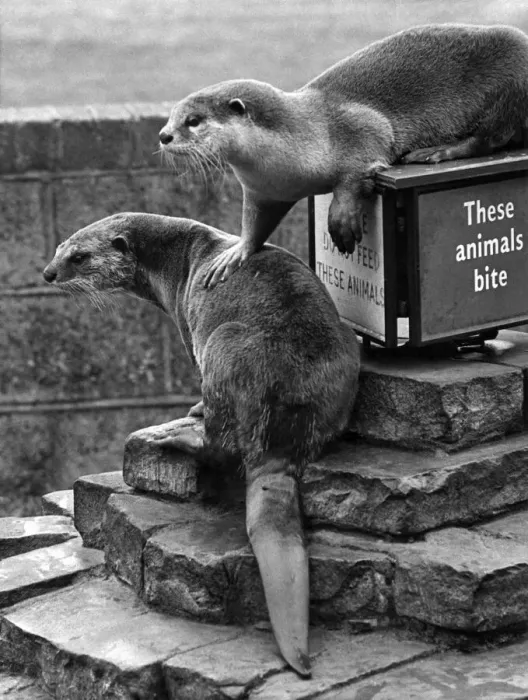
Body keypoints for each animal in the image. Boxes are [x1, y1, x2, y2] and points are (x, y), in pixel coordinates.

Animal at [42, 213, 360, 677]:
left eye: (79, 256)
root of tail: (283, 438)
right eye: (59, 248)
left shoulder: (186, 319)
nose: (48, 273)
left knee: (223, 441)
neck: (179, 259)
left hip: (224, 344)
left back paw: (175, 433)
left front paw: (189, 410)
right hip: (344, 357)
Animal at [159, 23, 528, 286]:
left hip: (510, 78)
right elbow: (256, 223)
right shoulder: (266, 190)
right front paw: (237, 252)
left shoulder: (358, 125)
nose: (163, 135)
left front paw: (342, 219)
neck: (304, 138)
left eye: (194, 120)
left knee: (491, 137)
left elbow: (358, 164)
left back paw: (437, 151)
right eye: (173, 115)